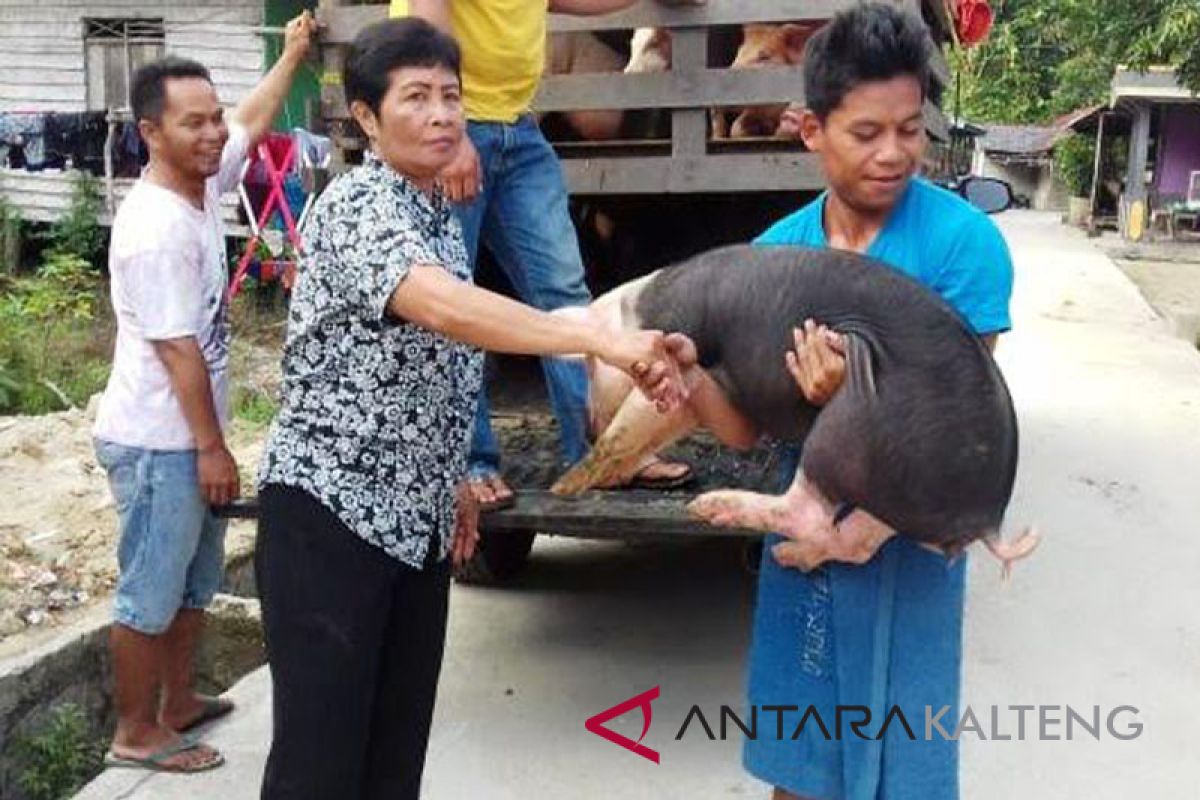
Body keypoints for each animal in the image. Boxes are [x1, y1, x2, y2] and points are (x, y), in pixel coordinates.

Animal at [549, 244, 1036, 575]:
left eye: (590, 363)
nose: (587, 425)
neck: (632, 312)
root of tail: (986, 516)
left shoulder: (672, 343)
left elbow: (627, 429)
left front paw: (562, 488)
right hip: (897, 490)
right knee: (854, 540)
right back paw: (787, 556)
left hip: (859, 420)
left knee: (808, 512)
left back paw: (711, 509)